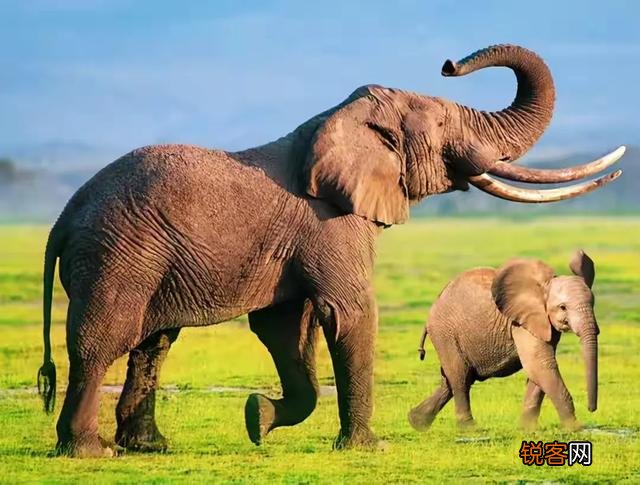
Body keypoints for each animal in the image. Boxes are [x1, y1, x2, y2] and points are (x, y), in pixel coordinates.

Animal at [408, 250, 598, 432]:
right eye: (563, 307)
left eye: (593, 304)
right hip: (445, 334)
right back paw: (469, 428)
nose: (591, 409)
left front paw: (526, 428)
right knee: (460, 377)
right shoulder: (521, 322)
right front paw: (575, 428)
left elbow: (539, 368)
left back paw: (416, 422)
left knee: (453, 379)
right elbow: (541, 364)